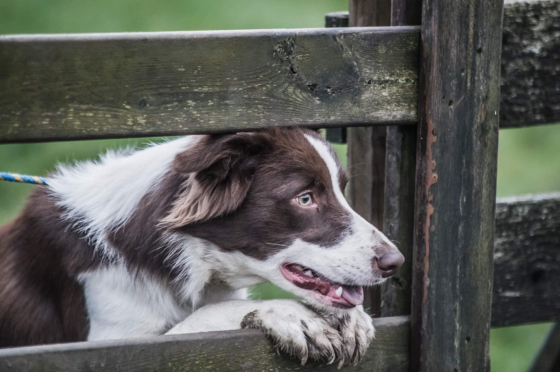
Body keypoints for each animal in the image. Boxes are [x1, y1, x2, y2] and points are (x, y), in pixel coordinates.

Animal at [0, 128, 402, 366]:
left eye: (341, 191)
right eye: (305, 198)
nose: (395, 261)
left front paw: (351, 316)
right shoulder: (108, 344)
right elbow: (204, 319)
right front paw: (289, 313)